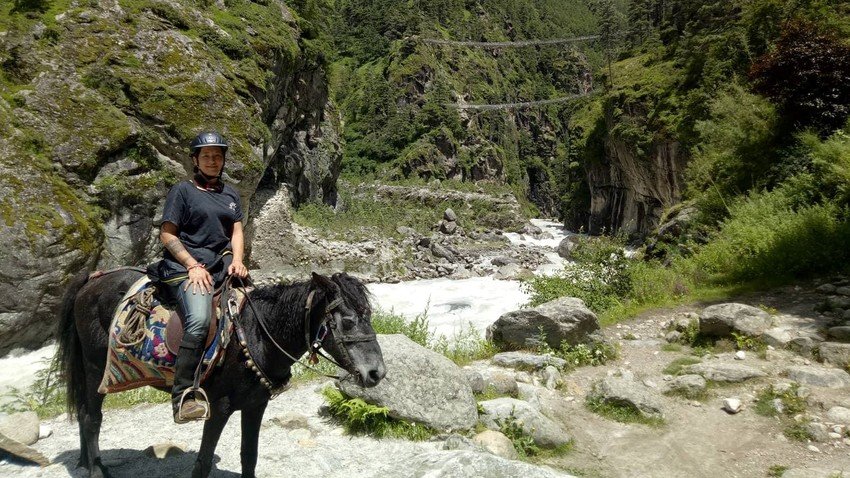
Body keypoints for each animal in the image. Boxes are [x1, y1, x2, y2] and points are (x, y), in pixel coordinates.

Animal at [55, 270, 380, 478]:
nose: (377, 372)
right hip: (95, 368)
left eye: (369, 316)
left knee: (83, 413)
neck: (254, 334)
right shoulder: (219, 407)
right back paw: (95, 469)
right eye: (348, 321)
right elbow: (202, 464)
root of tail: (92, 280)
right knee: (91, 418)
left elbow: (249, 456)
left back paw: (86, 462)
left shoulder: (255, 406)